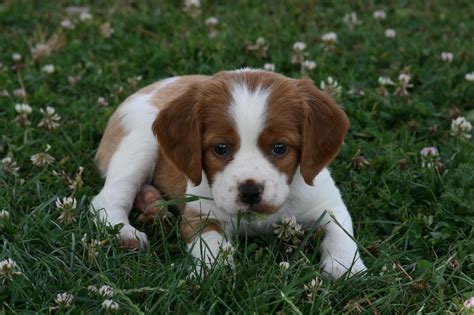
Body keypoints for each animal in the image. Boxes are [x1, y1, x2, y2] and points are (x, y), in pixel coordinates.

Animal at [91, 69, 366, 278]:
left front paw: (345, 268)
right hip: (140, 142)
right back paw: (126, 233)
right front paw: (215, 272)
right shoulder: (199, 215)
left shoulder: (326, 202)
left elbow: (340, 232)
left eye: (280, 147)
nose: (250, 191)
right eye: (220, 148)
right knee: (105, 199)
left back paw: (151, 203)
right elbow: (212, 243)